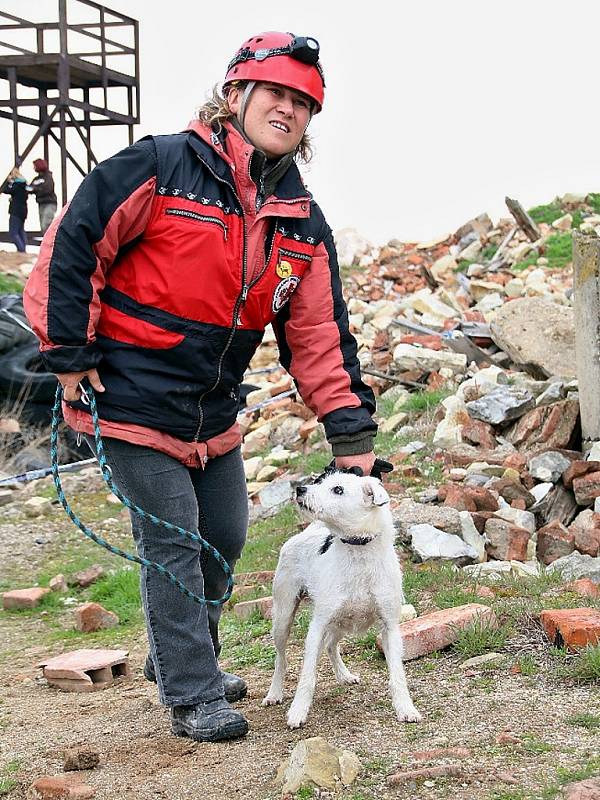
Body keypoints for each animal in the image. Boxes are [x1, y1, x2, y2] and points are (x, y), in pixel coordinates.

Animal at [262, 472, 422, 728]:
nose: (300, 490)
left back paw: (344, 675)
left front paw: (406, 708)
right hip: (284, 617)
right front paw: (297, 711)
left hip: (339, 623)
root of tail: (305, 533)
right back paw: (275, 693)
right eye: (321, 482)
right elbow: (307, 675)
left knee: (330, 645)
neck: (358, 551)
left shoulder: (390, 627)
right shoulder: (317, 626)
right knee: (281, 658)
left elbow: (397, 674)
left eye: (338, 489)